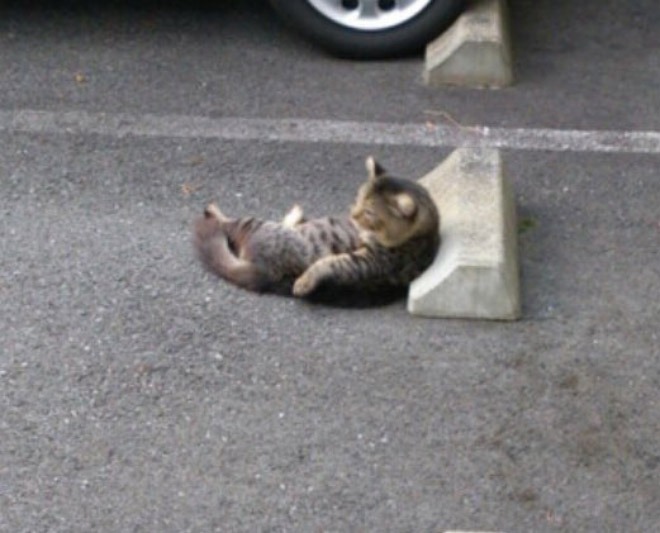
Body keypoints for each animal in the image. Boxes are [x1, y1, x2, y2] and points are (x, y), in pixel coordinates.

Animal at [193, 157, 440, 300]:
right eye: (358, 197)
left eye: (370, 212)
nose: (352, 214)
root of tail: (264, 272)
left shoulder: (369, 261)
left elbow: (327, 264)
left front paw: (304, 282)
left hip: (256, 225)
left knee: (227, 224)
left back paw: (213, 210)